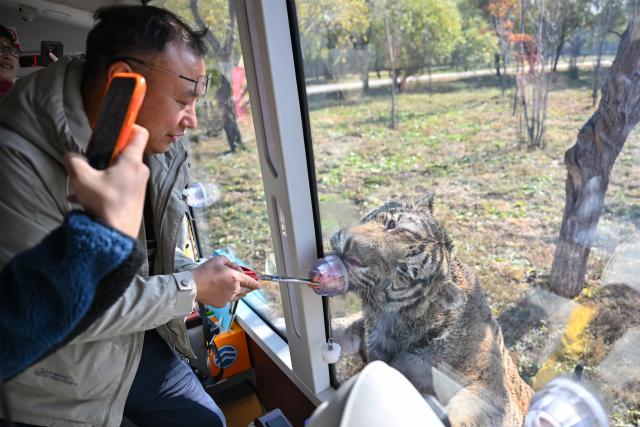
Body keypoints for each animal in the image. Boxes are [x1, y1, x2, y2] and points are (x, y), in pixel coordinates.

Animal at [329, 193, 534, 427]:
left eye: (402, 270)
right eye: (391, 224)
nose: (348, 249)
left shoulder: (492, 388)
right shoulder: (365, 327)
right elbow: (340, 327)